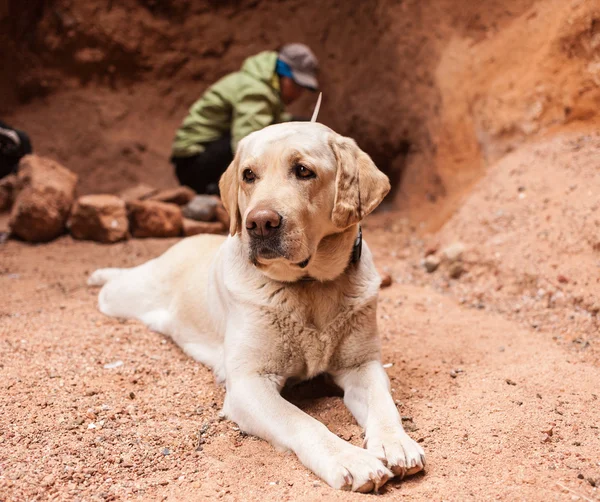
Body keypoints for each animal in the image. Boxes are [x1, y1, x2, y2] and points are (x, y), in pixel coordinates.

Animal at [89, 122, 426, 494]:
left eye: (303, 171)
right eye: (248, 175)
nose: (259, 223)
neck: (310, 286)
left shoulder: (362, 366)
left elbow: (384, 405)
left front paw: (395, 443)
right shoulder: (249, 384)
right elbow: (302, 421)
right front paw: (349, 458)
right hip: (127, 295)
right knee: (114, 285)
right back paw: (99, 275)